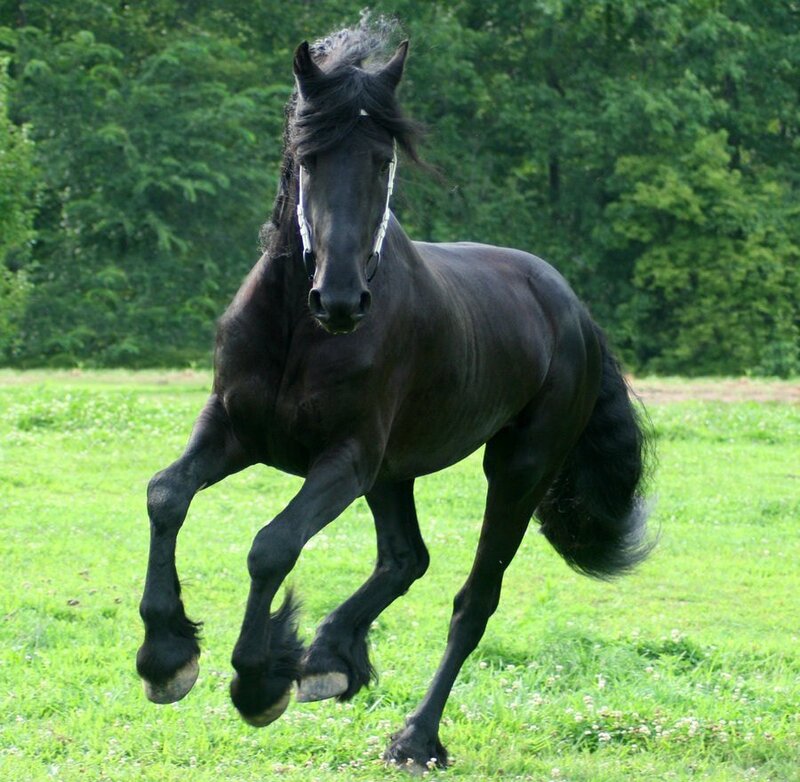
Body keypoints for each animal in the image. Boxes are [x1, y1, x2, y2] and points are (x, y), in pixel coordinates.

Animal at [136, 25, 653, 771]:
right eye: (308, 157)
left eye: (383, 161)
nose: (341, 300)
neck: (297, 328)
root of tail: (574, 311)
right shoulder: (234, 429)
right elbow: (166, 495)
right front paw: (165, 655)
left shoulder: (345, 460)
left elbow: (272, 545)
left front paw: (258, 679)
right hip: (395, 472)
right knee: (407, 558)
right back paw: (330, 657)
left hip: (515, 471)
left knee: (473, 600)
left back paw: (414, 736)